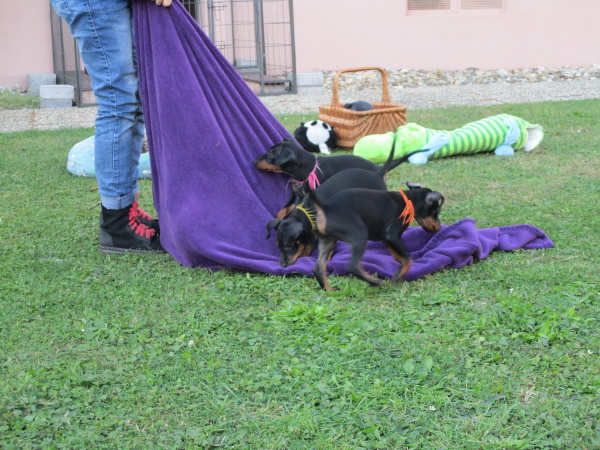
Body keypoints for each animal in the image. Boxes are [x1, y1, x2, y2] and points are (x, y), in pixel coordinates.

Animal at [253, 138, 382, 219]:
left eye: (270, 154)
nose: (253, 161)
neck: (308, 170)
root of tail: (378, 169)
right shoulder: (297, 195)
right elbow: (284, 208)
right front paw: (276, 219)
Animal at [308, 182, 445, 291]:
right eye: (435, 211)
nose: (439, 228)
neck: (408, 201)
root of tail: (326, 208)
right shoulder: (392, 236)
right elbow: (408, 258)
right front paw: (398, 277)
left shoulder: (385, 238)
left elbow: (399, 256)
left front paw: (398, 269)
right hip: (359, 235)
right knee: (352, 266)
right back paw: (375, 281)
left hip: (327, 241)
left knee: (318, 268)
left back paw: (329, 289)